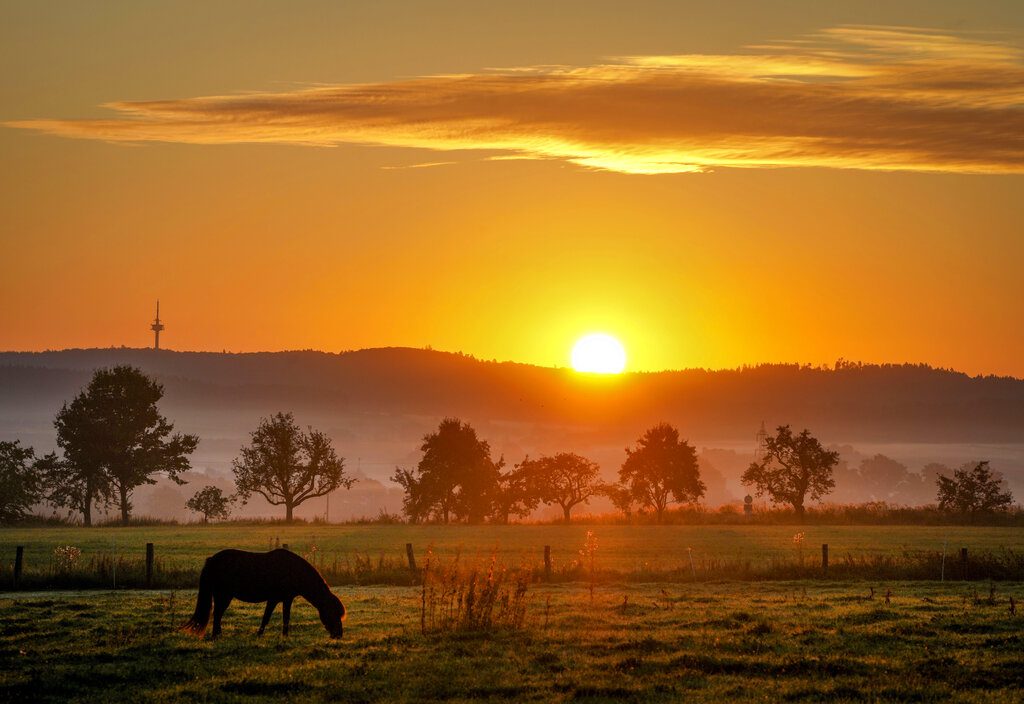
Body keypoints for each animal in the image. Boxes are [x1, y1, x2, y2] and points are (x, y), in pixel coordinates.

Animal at [182, 548, 346, 642]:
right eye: (332, 613)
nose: (338, 635)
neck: (292, 570)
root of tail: (212, 560)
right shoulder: (274, 599)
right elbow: (269, 618)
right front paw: (263, 634)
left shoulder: (285, 599)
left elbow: (283, 618)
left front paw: (282, 636)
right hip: (223, 595)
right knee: (217, 614)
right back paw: (217, 635)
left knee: (217, 614)